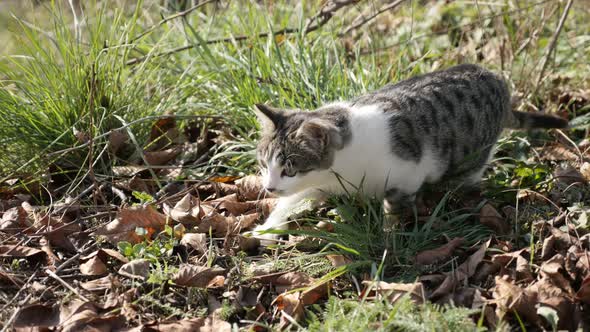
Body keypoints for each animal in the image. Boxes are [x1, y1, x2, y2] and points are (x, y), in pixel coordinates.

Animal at [250, 63, 568, 243]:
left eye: (290, 168)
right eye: (264, 165)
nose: (268, 187)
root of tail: (497, 81)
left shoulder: (407, 175)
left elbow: (393, 207)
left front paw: (388, 239)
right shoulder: (321, 183)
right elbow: (290, 201)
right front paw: (266, 231)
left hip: (471, 156)